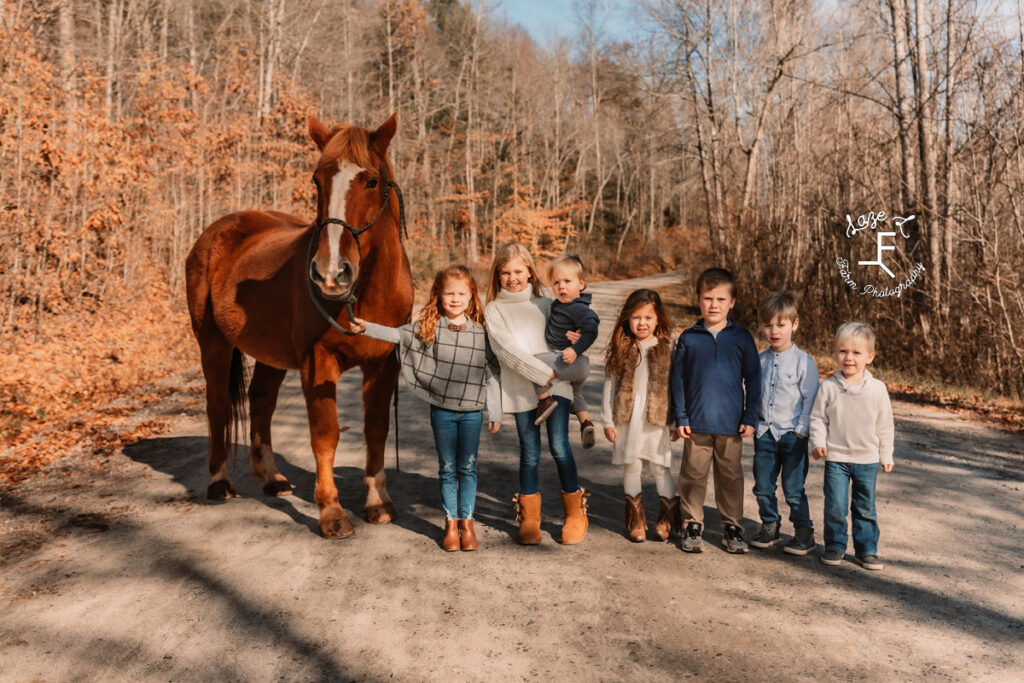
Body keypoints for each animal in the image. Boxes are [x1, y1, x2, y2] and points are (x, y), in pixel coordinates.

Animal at [184, 113, 411, 540]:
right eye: (317, 180)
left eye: (371, 181)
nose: (331, 273)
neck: (364, 294)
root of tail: (217, 230)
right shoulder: (317, 362)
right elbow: (326, 434)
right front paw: (331, 512)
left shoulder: (383, 365)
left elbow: (376, 428)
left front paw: (378, 502)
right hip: (213, 344)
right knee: (218, 405)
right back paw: (219, 482)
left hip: (270, 354)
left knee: (260, 401)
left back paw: (272, 478)